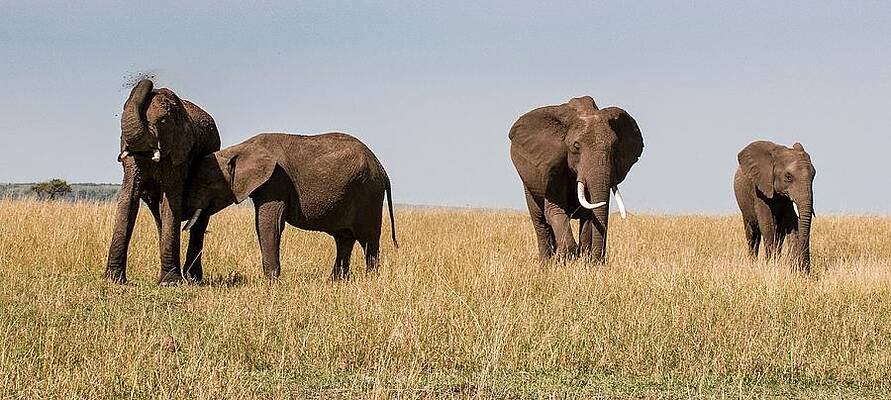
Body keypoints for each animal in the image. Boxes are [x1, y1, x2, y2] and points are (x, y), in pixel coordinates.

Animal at [105, 79, 221, 285]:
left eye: (162, 122)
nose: (149, 80)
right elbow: (128, 200)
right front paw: (114, 280)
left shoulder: (179, 153)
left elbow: (171, 201)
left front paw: (170, 282)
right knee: (159, 216)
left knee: (198, 223)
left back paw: (193, 279)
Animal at [181, 132, 397, 280]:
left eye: (206, 184)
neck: (240, 149)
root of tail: (382, 168)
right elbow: (263, 224)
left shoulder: (276, 180)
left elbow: (269, 224)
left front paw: (271, 281)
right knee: (344, 239)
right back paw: (336, 280)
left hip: (367, 194)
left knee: (368, 239)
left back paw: (370, 278)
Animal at [509, 96, 644, 262]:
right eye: (576, 146)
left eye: (614, 147)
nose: (600, 261)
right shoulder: (553, 167)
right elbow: (555, 210)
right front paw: (565, 258)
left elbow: (588, 215)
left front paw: (583, 259)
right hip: (528, 183)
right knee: (539, 221)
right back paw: (546, 262)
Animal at [733, 140, 815, 272]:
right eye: (788, 177)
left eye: (814, 176)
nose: (806, 271)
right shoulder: (759, 190)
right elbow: (767, 226)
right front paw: (771, 266)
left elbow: (792, 225)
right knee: (752, 234)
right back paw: (753, 263)